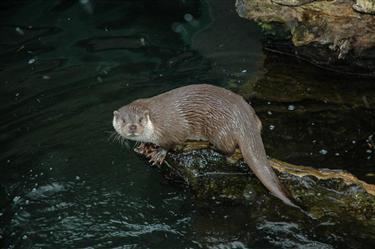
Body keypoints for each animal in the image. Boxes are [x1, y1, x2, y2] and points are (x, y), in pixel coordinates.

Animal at [114, 84, 300, 207]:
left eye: (140, 120)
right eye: (123, 120)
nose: (132, 127)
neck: (155, 123)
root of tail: (244, 118)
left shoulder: (171, 129)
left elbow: (170, 143)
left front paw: (159, 153)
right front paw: (143, 145)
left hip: (219, 129)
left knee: (229, 149)